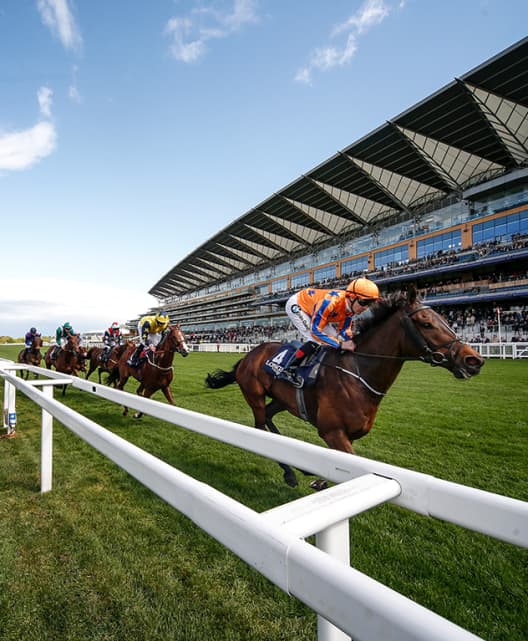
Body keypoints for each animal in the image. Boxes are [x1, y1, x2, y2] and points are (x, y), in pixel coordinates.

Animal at [204, 288, 484, 484]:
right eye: (426, 323)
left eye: (444, 318)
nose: (474, 360)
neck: (358, 374)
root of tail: (247, 356)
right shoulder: (332, 432)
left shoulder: (347, 435)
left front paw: (318, 477)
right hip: (256, 396)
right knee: (260, 426)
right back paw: (290, 473)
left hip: (282, 400)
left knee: (270, 422)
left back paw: (298, 466)